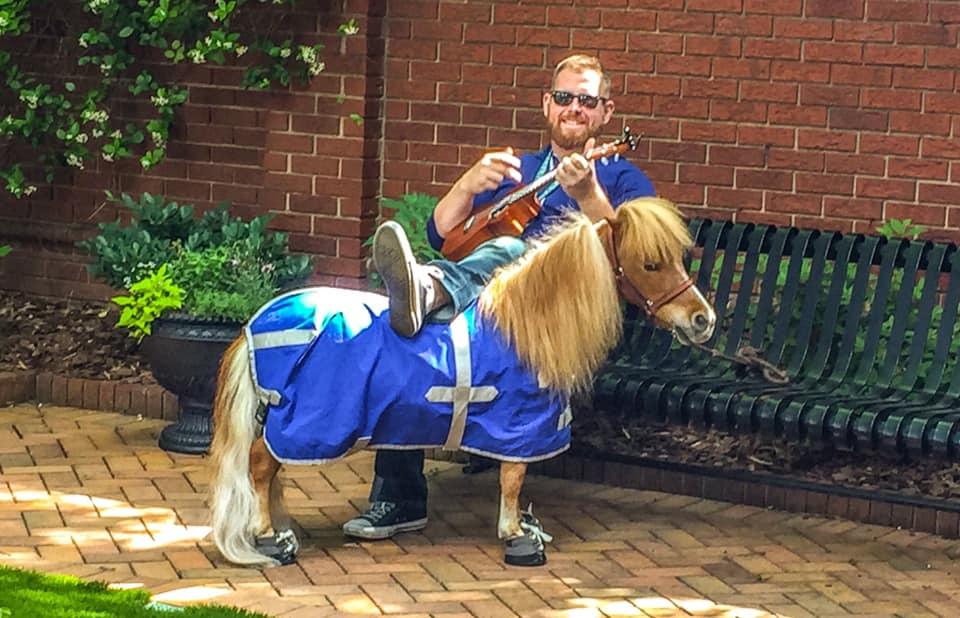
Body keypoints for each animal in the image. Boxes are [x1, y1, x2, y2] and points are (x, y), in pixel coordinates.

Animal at [210, 199, 716, 568]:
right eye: (650, 264)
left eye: (676, 258)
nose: (703, 320)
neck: (524, 329)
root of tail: (256, 324)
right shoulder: (519, 428)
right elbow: (513, 479)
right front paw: (516, 537)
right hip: (302, 427)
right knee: (260, 466)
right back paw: (270, 539)